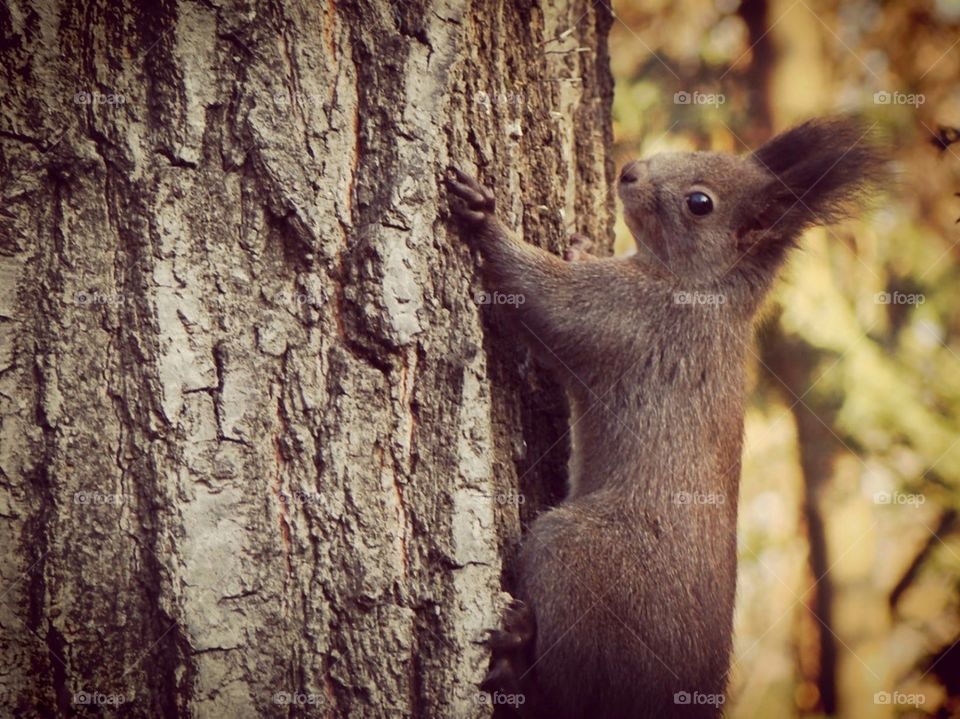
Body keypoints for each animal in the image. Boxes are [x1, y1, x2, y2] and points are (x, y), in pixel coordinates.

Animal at [446, 118, 887, 719]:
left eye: (700, 203)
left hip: (575, 558)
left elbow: (544, 298)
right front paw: (582, 244)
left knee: (567, 694)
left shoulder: (626, 315)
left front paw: (483, 219)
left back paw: (517, 660)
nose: (629, 171)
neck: (704, 288)